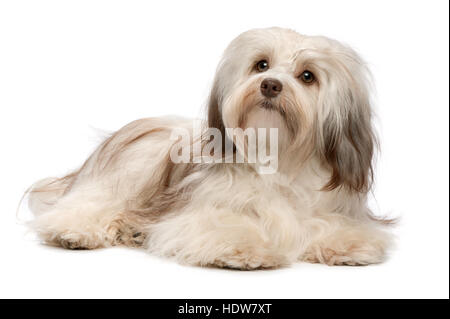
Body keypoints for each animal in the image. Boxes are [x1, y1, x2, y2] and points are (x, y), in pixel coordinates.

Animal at [29, 26, 394, 270]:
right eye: (261, 64)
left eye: (307, 76)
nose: (270, 85)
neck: (277, 154)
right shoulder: (200, 214)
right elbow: (225, 226)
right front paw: (246, 250)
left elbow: (327, 226)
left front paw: (349, 245)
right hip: (125, 177)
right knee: (87, 205)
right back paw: (73, 232)